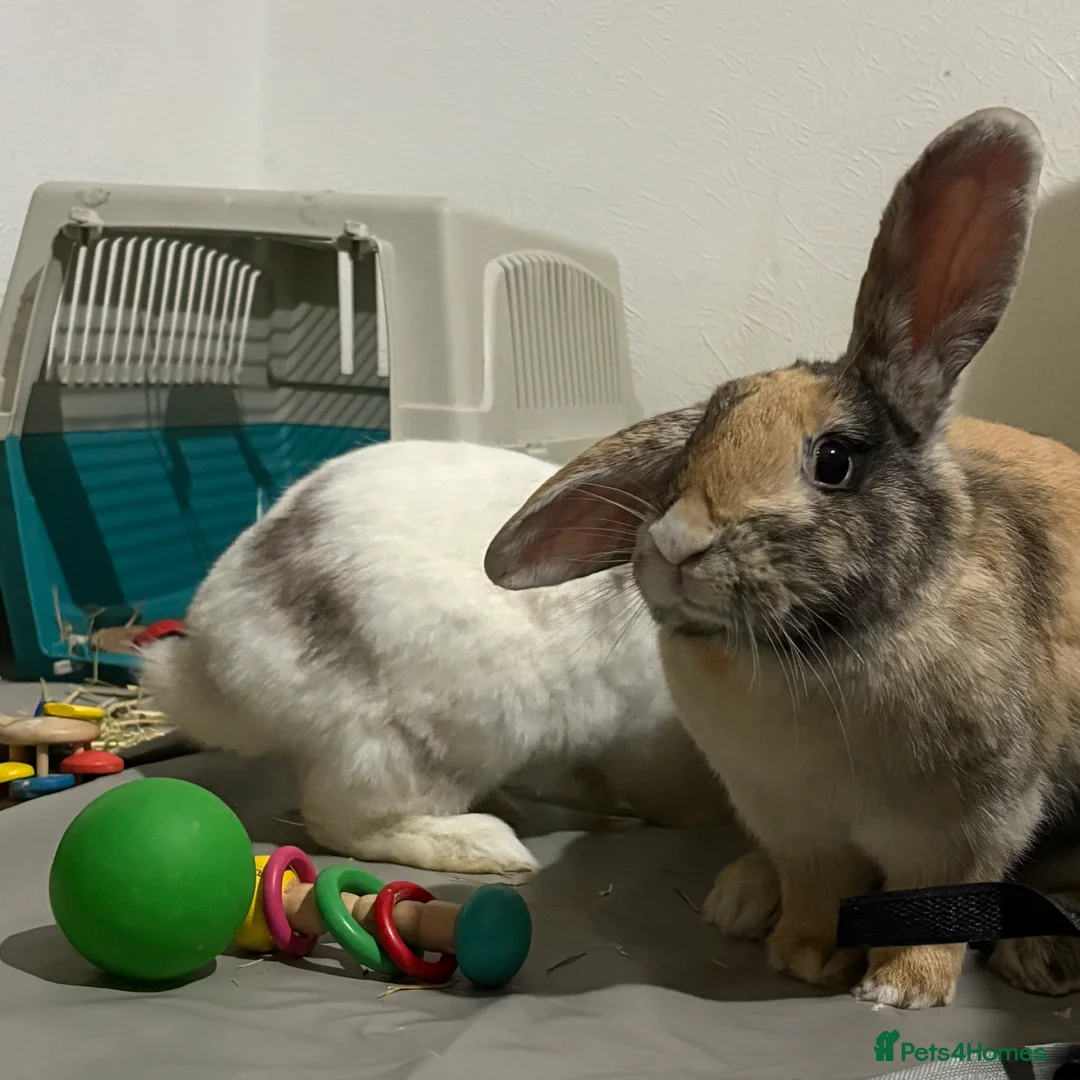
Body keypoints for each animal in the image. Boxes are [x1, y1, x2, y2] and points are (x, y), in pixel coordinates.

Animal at [482, 107, 1080, 1007]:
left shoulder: (964, 830)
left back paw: (1043, 955)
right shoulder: (795, 825)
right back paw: (739, 899)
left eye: (833, 460)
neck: (805, 654)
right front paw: (801, 958)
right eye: (688, 451)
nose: (674, 543)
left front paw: (900, 991)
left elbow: (937, 908)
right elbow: (814, 890)